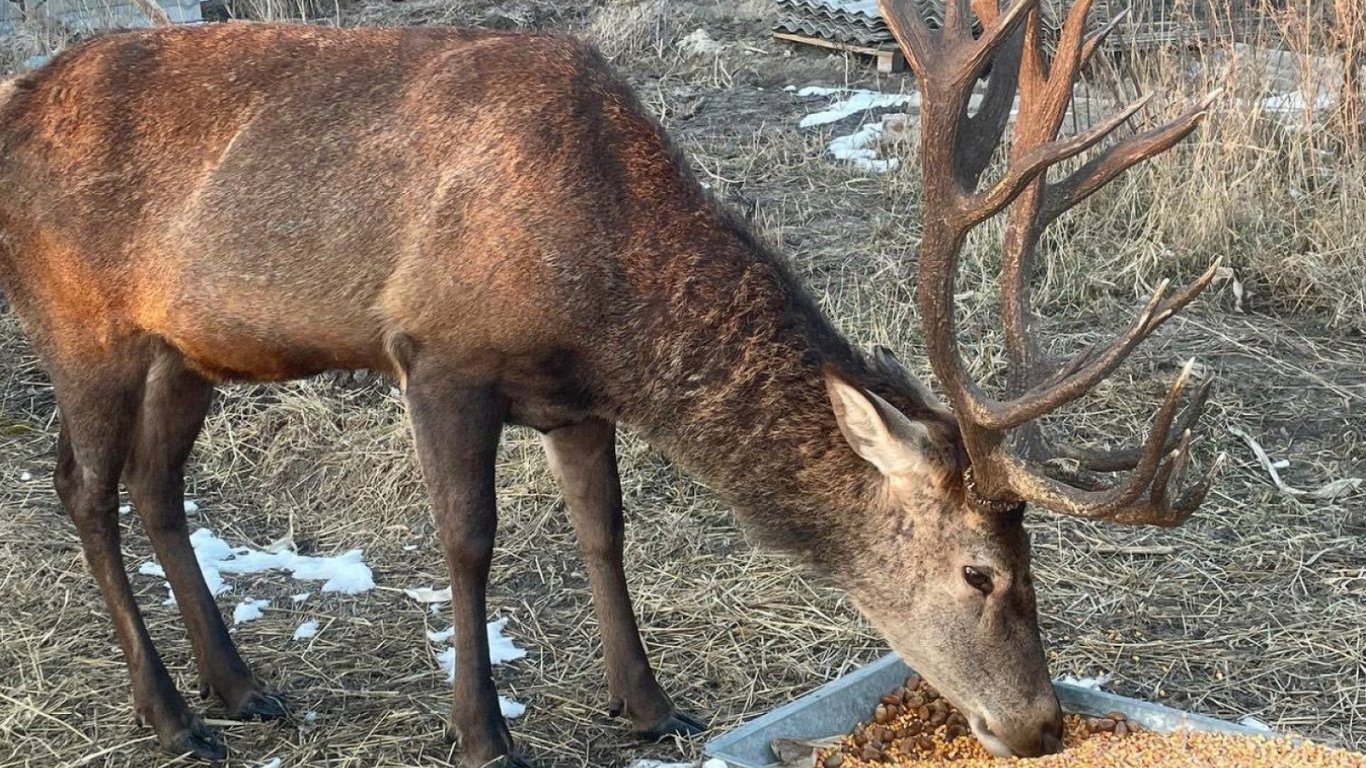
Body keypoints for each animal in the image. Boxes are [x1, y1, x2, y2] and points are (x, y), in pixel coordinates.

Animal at [0, 0, 1223, 764]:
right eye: (981, 573)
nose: (1041, 726)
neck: (605, 301)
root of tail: (15, 101)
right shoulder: (434, 352)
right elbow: (468, 540)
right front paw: (484, 734)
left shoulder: (574, 398)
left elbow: (605, 529)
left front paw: (650, 705)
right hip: (79, 321)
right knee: (84, 492)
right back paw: (170, 717)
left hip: (186, 346)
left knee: (156, 486)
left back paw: (241, 686)